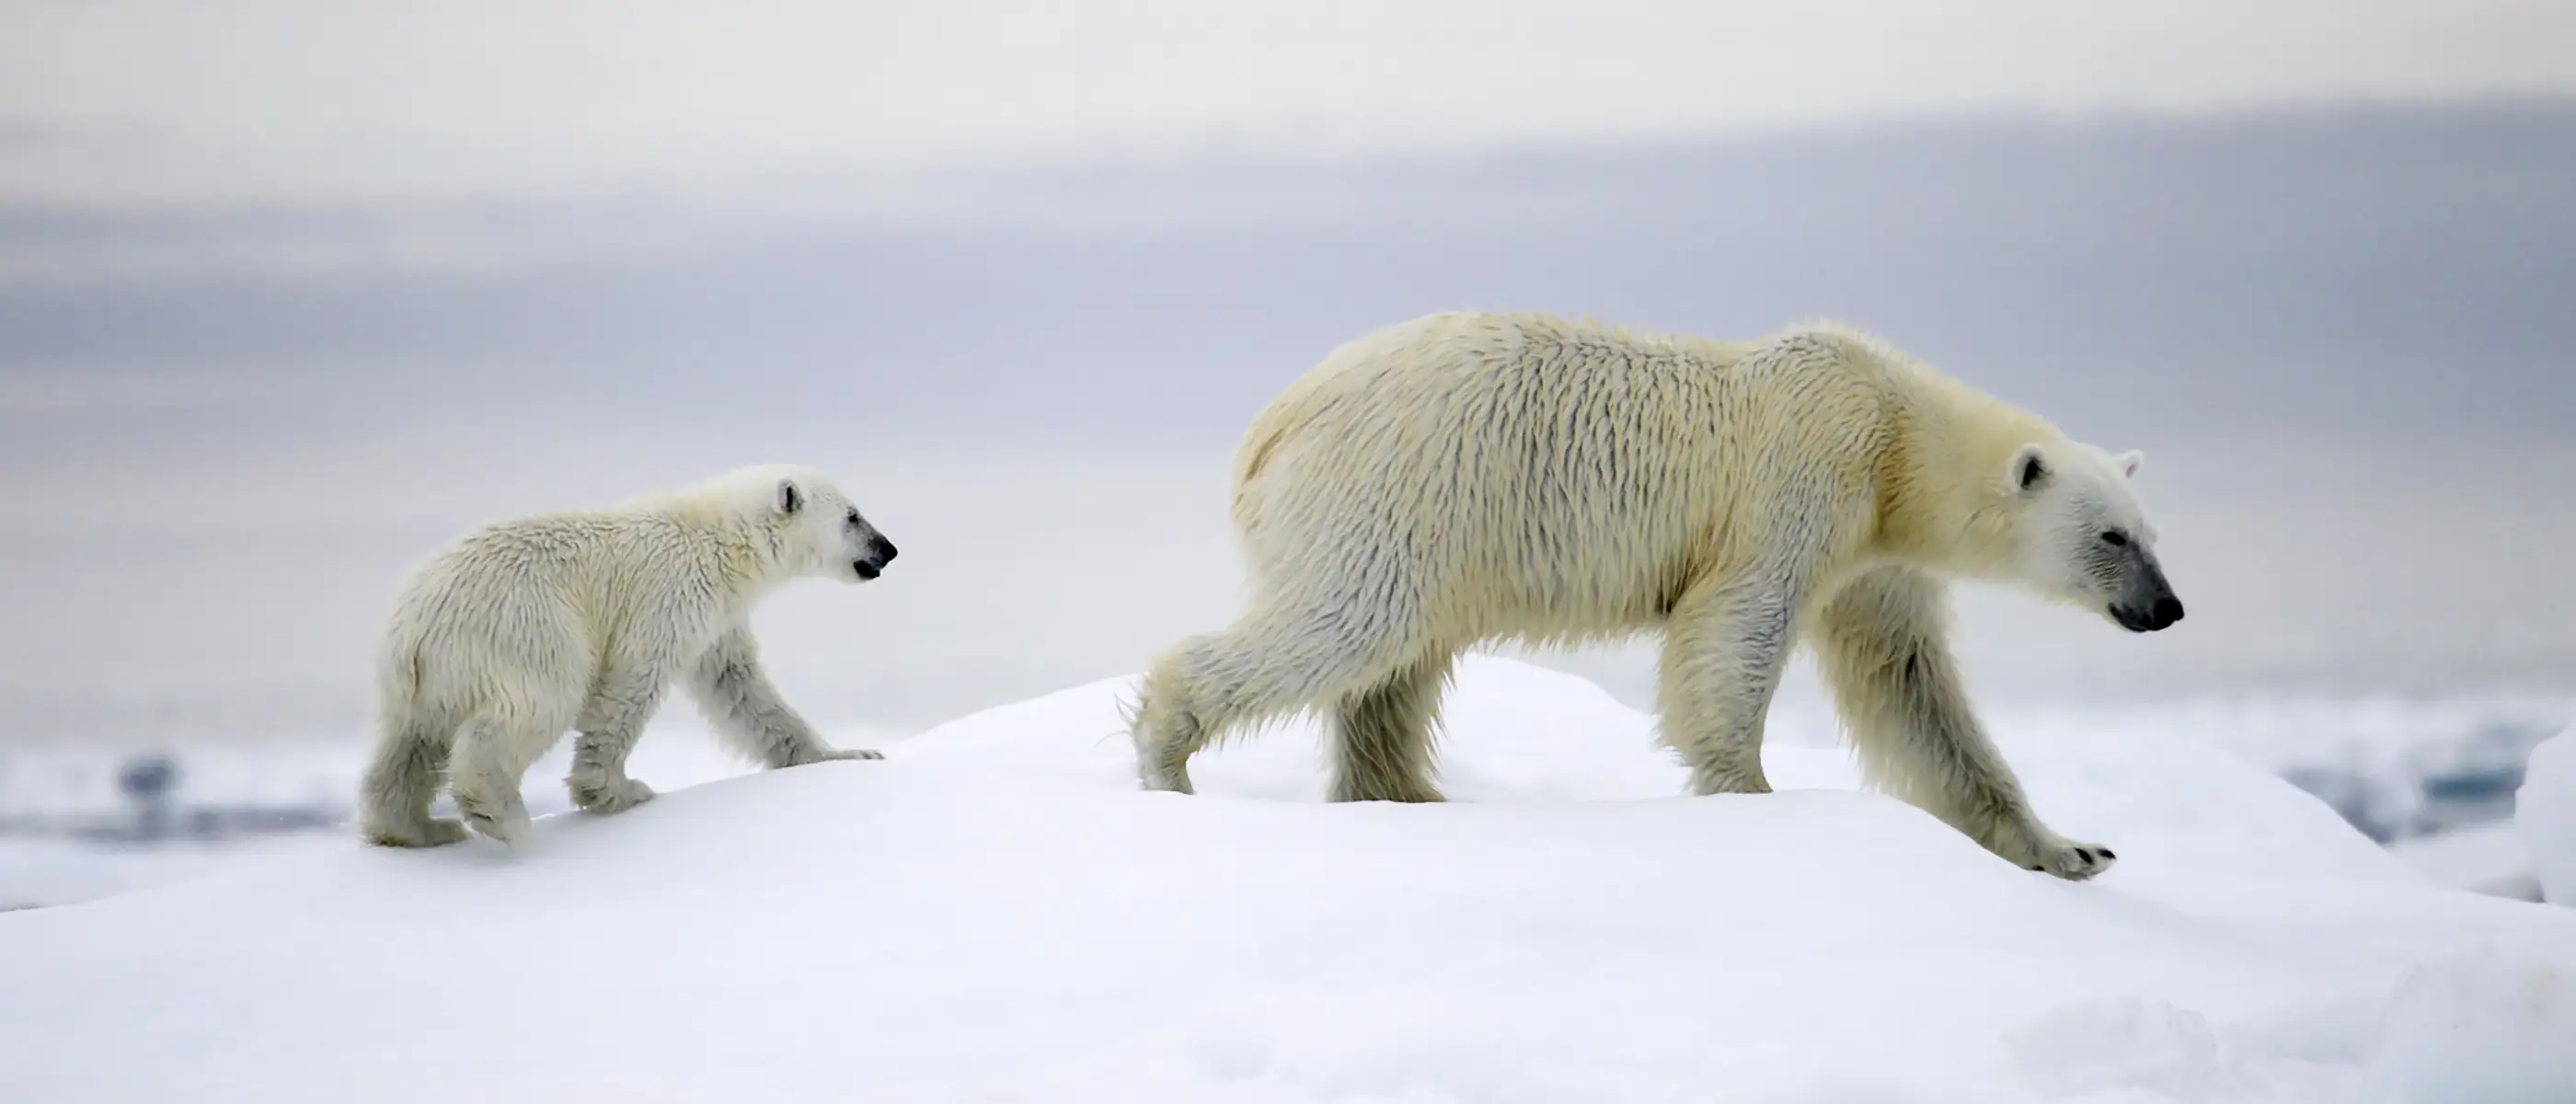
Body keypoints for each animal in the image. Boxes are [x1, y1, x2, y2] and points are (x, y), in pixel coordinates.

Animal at [355, 463, 896, 844]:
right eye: (853, 515)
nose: (889, 549)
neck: (720, 539)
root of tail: (412, 629)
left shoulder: (718, 619)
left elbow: (741, 687)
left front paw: (848, 753)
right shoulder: (673, 593)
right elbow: (634, 680)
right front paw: (617, 790)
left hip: (425, 681)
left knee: (409, 745)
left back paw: (417, 828)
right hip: (524, 627)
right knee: (538, 701)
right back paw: (501, 813)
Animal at [1122, 310, 2174, 880]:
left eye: (2151, 533)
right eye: (2110, 537)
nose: (2168, 610)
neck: (1897, 436)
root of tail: (1271, 425)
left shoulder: (1876, 558)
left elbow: (1912, 690)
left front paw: (2071, 850)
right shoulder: (1804, 479)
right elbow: (1736, 626)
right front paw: (1752, 794)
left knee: (1395, 674)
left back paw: (1408, 796)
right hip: (1400, 491)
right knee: (1349, 625)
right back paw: (1167, 756)